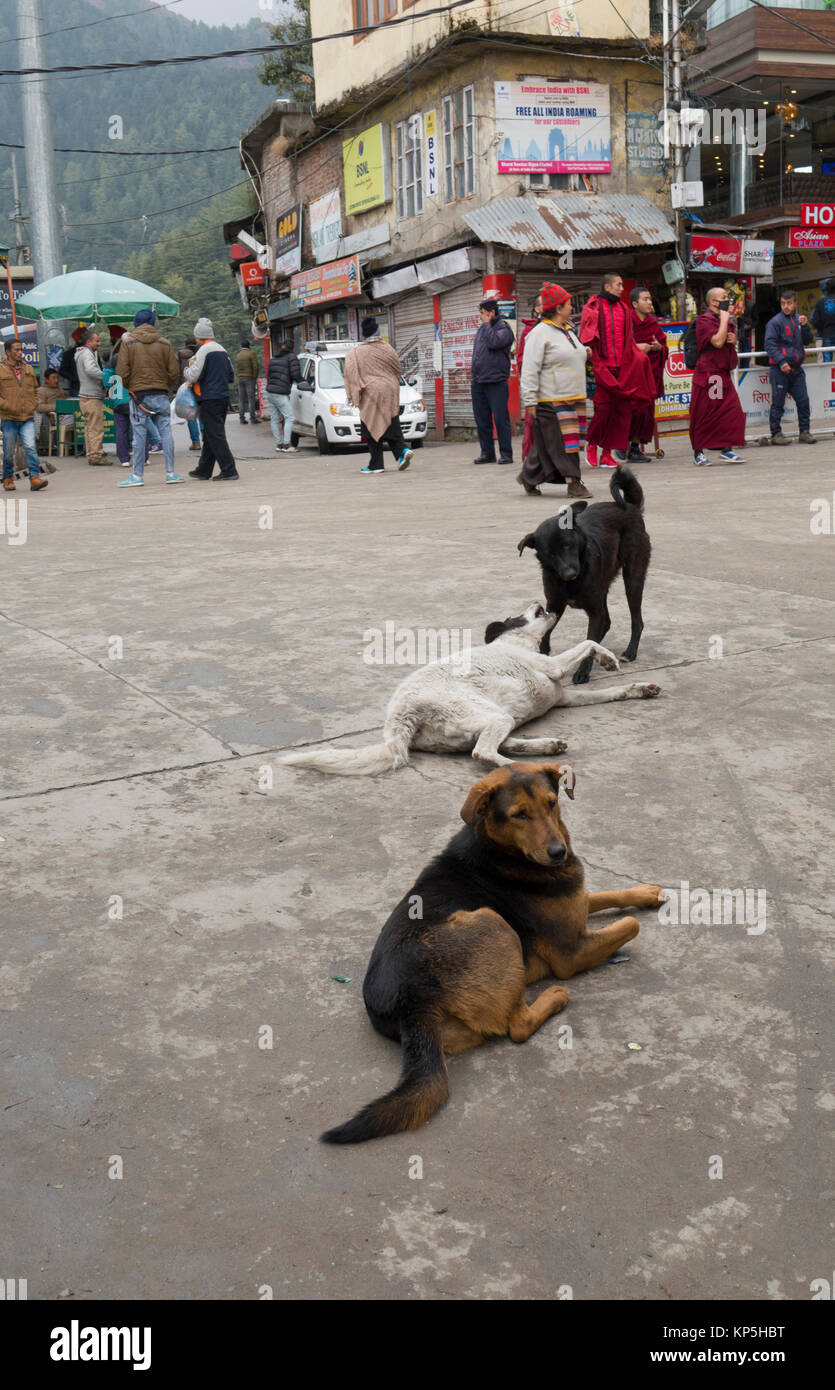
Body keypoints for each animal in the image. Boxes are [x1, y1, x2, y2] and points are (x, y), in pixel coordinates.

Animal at [283, 603, 661, 778]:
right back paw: (526, 768)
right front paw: (608, 658)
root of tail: (398, 719)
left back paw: (547, 747)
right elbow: (589, 642)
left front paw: (640, 688)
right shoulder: (552, 666)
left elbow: (613, 690)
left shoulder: (565, 697)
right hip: (490, 714)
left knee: (494, 746)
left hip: (493, 720)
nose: (536, 601)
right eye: (517, 615)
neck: (518, 643)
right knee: (484, 754)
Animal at [322, 767, 661, 1145]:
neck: (503, 851)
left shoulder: (576, 903)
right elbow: (631, 924)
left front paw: (647, 893)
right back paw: (553, 997)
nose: (558, 852)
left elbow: (604, 894)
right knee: (518, 1027)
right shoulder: (571, 952)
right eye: (519, 815)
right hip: (492, 921)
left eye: (551, 803)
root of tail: (411, 1003)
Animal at [514, 467, 650, 683]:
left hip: (633, 579)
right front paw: (543, 655)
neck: (570, 583)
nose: (570, 573)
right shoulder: (555, 605)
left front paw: (582, 671)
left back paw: (630, 652)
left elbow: (591, 640)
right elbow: (547, 632)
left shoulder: (594, 610)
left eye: (568, 545)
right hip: (604, 588)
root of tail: (631, 508)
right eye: (549, 553)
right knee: (606, 622)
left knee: (636, 621)